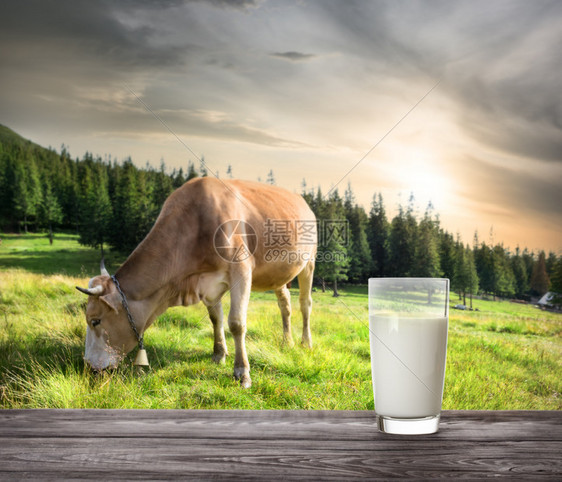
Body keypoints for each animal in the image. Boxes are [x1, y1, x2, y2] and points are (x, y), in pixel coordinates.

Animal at [75, 177, 316, 388]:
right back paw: (287, 342)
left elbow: (236, 323)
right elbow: (216, 318)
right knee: (285, 305)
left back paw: (305, 343)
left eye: (95, 321)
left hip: (309, 262)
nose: (88, 366)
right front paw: (219, 354)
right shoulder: (207, 284)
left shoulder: (241, 270)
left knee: (305, 304)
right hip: (279, 275)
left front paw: (242, 372)